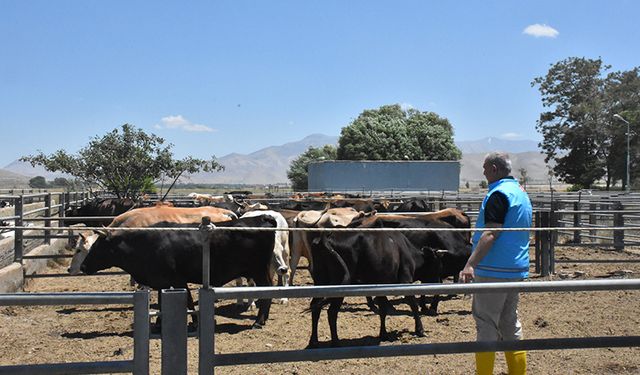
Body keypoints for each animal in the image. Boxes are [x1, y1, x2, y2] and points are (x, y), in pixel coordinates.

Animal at [80, 216, 278, 328]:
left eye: (97, 246)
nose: (83, 267)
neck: (144, 244)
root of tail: (264, 219)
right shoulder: (163, 283)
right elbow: (163, 304)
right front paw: (160, 323)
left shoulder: (178, 280)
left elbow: (188, 303)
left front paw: (194, 322)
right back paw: (264, 318)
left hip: (259, 271)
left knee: (267, 291)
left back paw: (259, 321)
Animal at [308, 229, 442, 350]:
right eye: (437, 265)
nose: (440, 282)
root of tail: (326, 236)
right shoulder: (405, 280)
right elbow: (413, 305)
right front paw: (420, 330)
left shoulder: (381, 286)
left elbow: (383, 310)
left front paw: (384, 334)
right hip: (338, 286)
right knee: (332, 312)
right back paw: (336, 342)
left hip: (321, 282)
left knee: (315, 306)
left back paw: (313, 342)